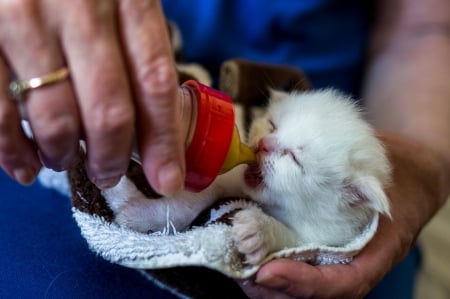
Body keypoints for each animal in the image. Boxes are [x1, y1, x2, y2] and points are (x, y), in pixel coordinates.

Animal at [103, 88, 390, 264]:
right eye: (272, 125)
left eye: (293, 158)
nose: (263, 145)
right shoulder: (230, 175)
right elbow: (189, 202)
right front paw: (140, 213)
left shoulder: (330, 240)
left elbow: (295, 244)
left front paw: (258, 231)